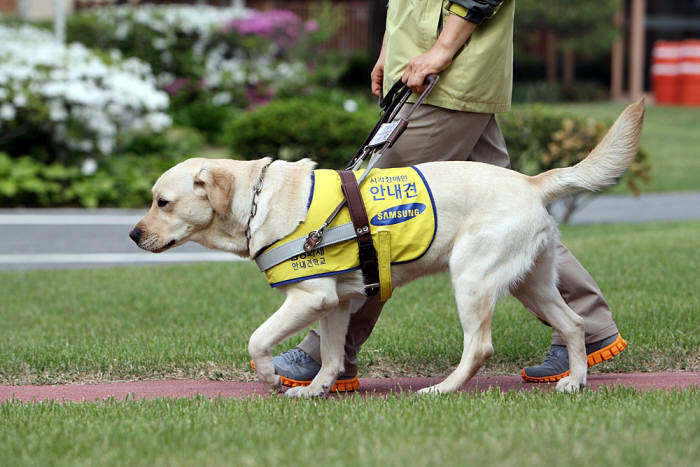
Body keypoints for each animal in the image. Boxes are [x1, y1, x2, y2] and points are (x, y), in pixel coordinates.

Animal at [130, 98, 644, 398]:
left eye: (162, 201)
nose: (133, 235)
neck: (256, 201)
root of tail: (530, 182)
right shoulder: (336, 301)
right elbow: (332, 354)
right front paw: (316, 389)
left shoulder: (310, 296)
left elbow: (257, 340)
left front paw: (272, 377)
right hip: (530, 282)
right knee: (574, 323)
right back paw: (574, 381)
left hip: (472, 277)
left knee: (479, 346)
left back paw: (442, 390)